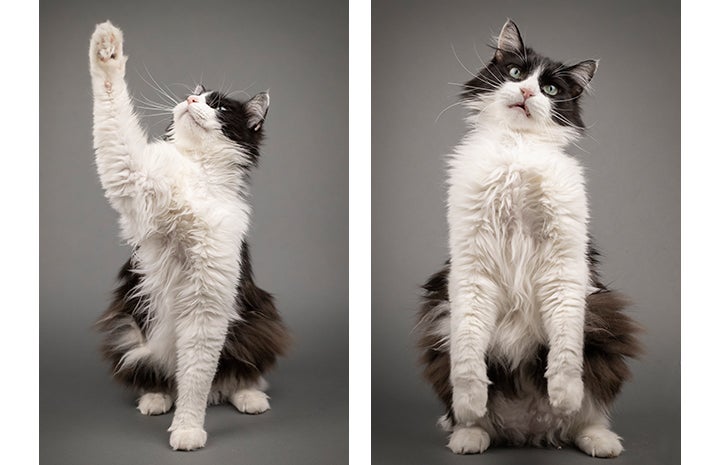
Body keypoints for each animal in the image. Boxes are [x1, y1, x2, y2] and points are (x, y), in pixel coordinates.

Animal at [89, 20, 290, 450]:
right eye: (195, 95)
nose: (189, 99)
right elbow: (112, 105)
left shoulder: (207, 297)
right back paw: (156, 398)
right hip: (131, 333)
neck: (198, 171)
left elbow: (197, 377)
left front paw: (187, 429)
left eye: (219, 107)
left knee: (231, 375)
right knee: (159, 375)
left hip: (260, 321)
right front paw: (106, 47)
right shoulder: (131, 175)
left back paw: (248, 396)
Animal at [416, 20, 640, 454]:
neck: (516, 152)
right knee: (473, 417)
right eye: (516, 73)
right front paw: (471, 399)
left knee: (585, 416)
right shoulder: (471, 268)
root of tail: (528, 432)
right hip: (439, 323)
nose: (525, 93)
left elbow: (565, 351)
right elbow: (468, 356)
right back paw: (469, 435)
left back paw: (598, 440)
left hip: (605, 330)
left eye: (550, 89)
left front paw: (563, 393)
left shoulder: (564, 265)